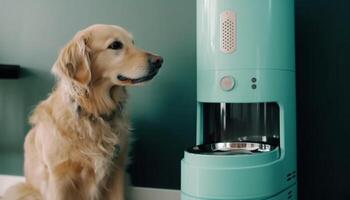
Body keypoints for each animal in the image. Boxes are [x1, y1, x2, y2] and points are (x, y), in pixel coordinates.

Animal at [2, 23, 163, 200]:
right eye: (115, 45)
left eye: (133, 42)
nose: (159, 60)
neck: (95, 112)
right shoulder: (59, 176)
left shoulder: (117, 171)